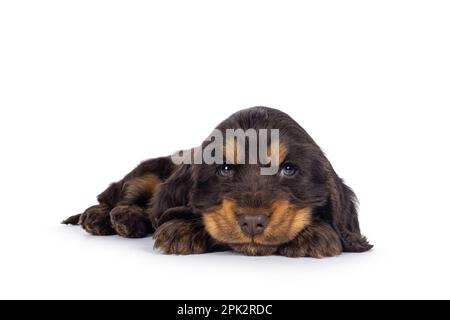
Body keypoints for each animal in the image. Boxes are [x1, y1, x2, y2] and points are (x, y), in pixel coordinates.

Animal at [63, 107, 372, 258]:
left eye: (288, 169)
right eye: (223, 169)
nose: (252, 222)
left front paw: (316, 233)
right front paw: (182, 229)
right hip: (145, 174)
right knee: (117, 195)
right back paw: (107, 216)